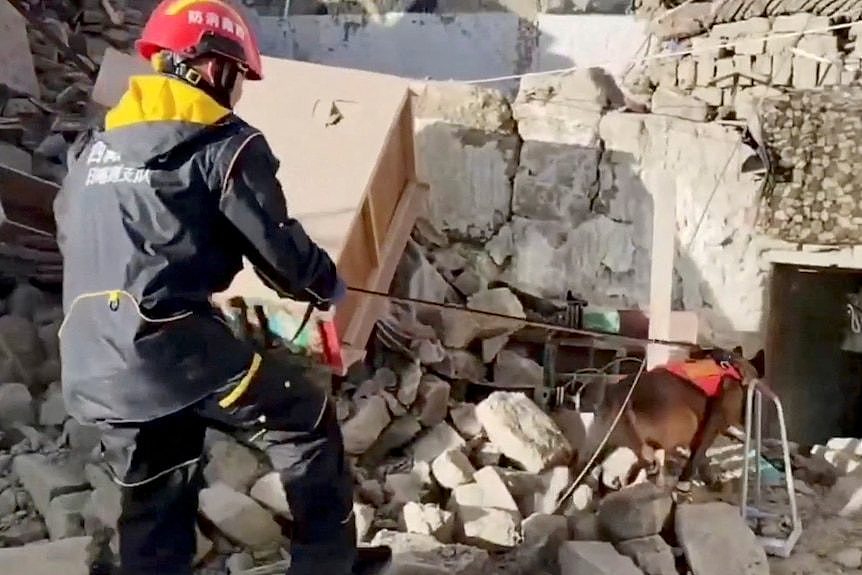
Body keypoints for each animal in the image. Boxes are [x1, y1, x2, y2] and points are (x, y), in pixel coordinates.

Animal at [580, 346, 764, 490]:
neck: (737, 367)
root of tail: (622, 395)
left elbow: (701, 457)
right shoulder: (713, 421)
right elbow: (699, 455)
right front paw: (688, 481)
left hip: (602, 443)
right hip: (687, 422)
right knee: (647, 459)